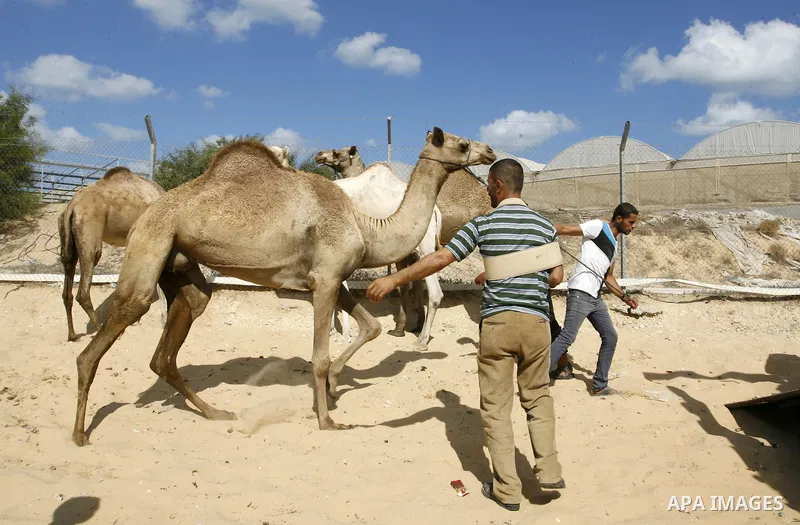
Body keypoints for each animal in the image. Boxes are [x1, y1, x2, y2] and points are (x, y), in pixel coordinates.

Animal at [58, 167, 167, 341]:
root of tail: (71, 207)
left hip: (66, 235)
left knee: (67, 276)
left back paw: (73, 335)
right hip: (89, 231)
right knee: (83, 290)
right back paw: (102, 330)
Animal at [70, 127, 496, 446]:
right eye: (460, 144)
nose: (489, 150)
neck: (366, 225)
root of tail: (148, 211)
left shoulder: (331, 276)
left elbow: (371, 326)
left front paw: (337, 385)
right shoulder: (326, 279)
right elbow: (320, 356)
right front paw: (327, 419)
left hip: (178, 258)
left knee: (183, 319)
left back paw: (215, 412)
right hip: (152, 241)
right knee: (117, 323)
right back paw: (79, 433)